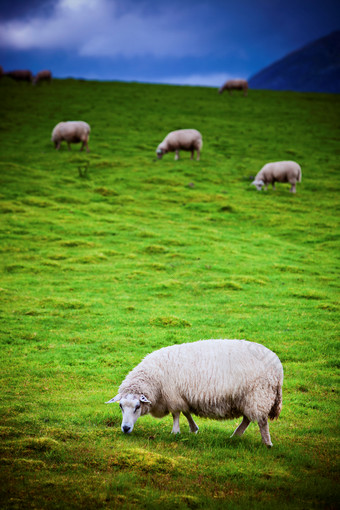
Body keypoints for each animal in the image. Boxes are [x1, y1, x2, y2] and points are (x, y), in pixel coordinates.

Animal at [106, 338, 284, 446]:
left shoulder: (173, 396)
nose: (125, 428)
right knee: (248, 418)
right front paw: (193, 429)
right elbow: (186, 412)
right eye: (120, 406)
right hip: (247, 397)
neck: (154, 379)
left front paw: (175, 432)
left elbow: (176, 414)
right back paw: (236, 435)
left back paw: (267, 443)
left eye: (137, 406)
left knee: (261, 421)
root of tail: (277, 365)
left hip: (259, 394)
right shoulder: (181, 396)